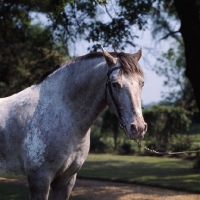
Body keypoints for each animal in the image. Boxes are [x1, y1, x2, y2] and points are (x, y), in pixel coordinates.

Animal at [0, 47, 147, 200]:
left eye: (142, 83)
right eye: (115, 84)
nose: (138, 128)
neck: (60, 112)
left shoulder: (66, 180)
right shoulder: (39, 179)